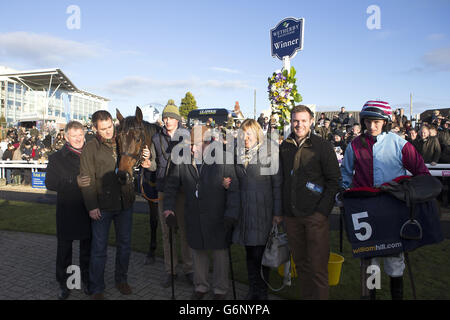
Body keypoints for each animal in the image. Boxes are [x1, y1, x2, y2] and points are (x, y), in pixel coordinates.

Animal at [116, 107, 162, 262]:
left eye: (138, 139)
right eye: (118, 138)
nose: (123, 175)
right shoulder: (152, 198)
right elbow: (153, 221)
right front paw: (152, 251)